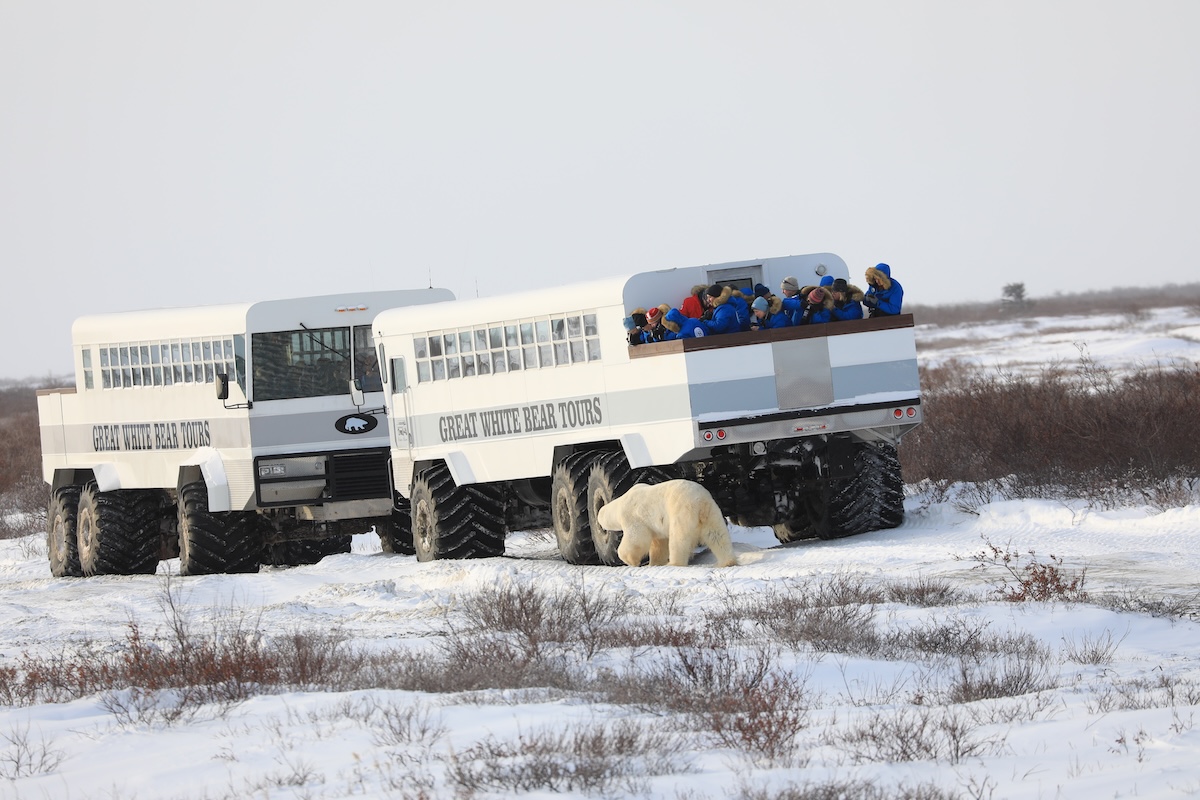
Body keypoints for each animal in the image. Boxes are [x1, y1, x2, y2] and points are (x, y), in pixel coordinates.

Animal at [595, 480, 736, 567]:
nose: (600, 527)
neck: (619, 504)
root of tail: (700, 502)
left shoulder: (633, 517)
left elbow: (636, 539)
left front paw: (631, 561)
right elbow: (659, 543)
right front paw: (654, 563)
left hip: (681, 511)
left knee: (678, 539)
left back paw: (674, 563)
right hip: (711, 512)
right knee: (717, 535)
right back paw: (728, 561)